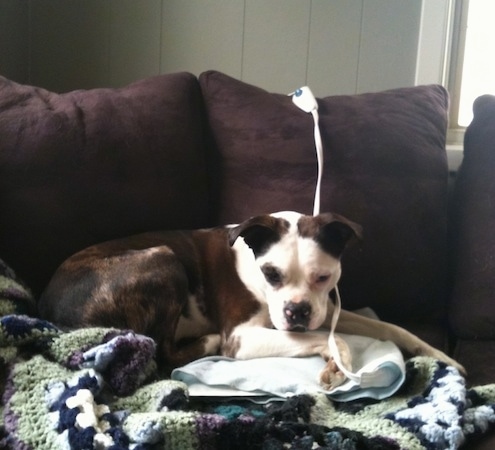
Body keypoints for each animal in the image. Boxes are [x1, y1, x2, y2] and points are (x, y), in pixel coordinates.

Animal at [37, 211, 464, 386]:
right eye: (271, 274)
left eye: (323, 277)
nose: (296, 310)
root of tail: (49, 307)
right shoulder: (243, 336)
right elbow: (332, 340)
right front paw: (336, 362)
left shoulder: (327, 310)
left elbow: (391, 327)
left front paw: (440, 356)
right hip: (163, 258)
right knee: (161, 349)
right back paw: (206, 342)